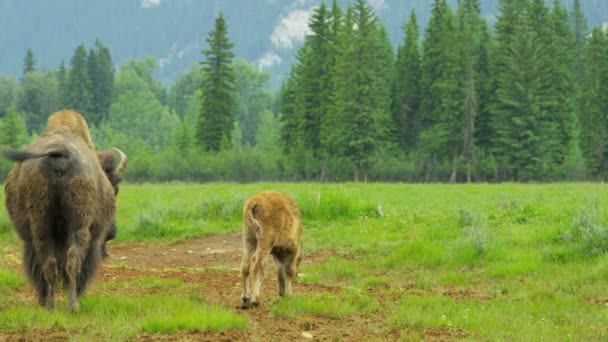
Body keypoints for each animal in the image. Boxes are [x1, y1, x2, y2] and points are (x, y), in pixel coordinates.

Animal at [2, 110, 127, 312]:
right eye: (115, 190)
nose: (112, 233)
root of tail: (59, 150)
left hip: (41, 226)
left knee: (49, 262)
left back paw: (50, 305)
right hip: (79, 226)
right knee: (73, 260)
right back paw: (73, 305)